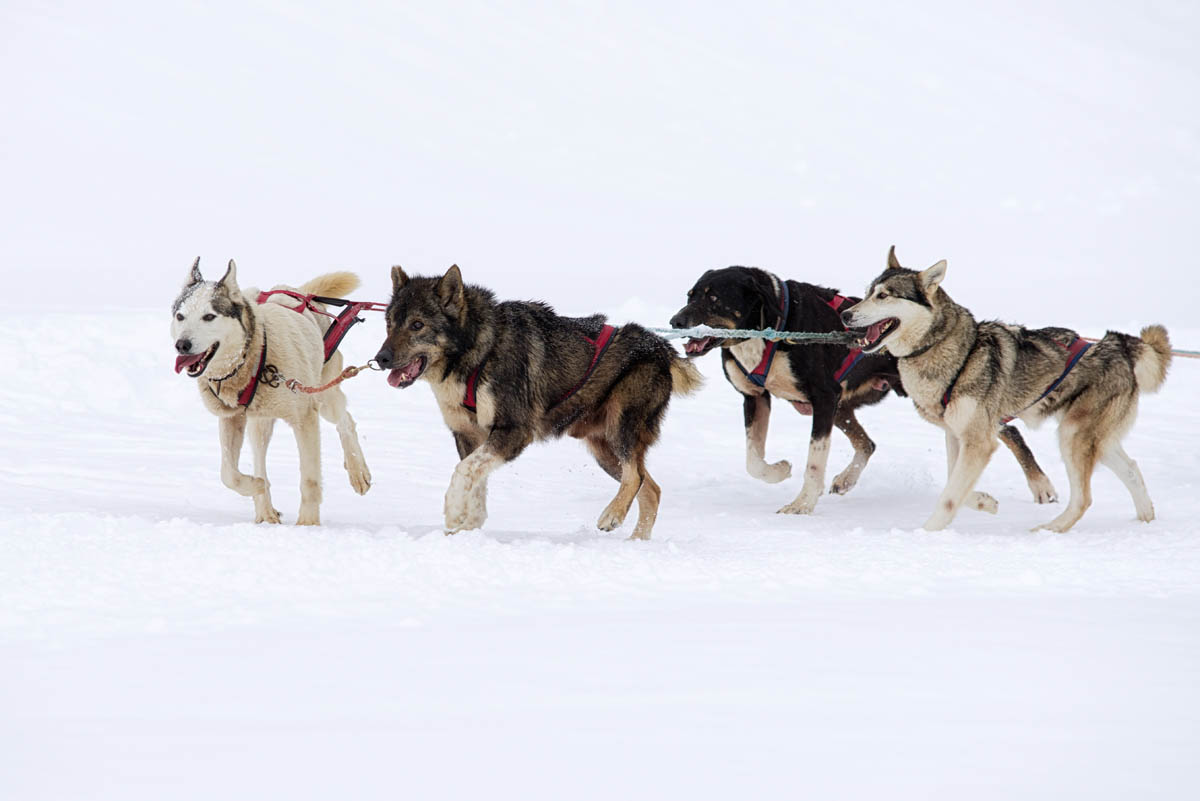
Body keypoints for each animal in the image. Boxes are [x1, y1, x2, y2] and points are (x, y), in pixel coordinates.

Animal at [166, 256, 367, 525]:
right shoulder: (231, 419)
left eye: (209, 316)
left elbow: (310, 479)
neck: (254, 357)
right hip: (259, 422)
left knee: (345, 420)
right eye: (180, 316)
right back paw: (265, 510)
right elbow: (228, 473)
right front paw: (257, 486)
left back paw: (358, 472)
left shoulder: (306, 418)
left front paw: (308, 524)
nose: (182, 345)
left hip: (324, 396)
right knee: (259, 458)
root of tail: (300, 292)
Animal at [369, 266, 700, 541]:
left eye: (417, 325)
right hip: (603, 450)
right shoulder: (468, 435)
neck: (479, 352)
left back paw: (612, 514)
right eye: (389, 323)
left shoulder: (514, 431)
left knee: (636, 476)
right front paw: (469, 523)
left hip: (622, 427)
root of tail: (661, 347)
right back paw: (636, 542)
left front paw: (453, 511)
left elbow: (464, 471)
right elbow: (475, 477)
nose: (381, 358)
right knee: (651, 489)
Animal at [672, 266, 1056, 515]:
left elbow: (814, 461)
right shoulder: (755, 397)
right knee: (867, 443)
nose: (675, 321)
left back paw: (1041, 486)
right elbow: (753, 460)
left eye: (714, 299)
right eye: (690, 294)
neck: (774, 328)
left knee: (1010, 432)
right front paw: (777, 470)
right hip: (849, 407)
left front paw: (802, 503)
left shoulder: (823, 399)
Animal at [844, 248, 1171, 532]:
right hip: (1096, 439)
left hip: (1073, 435)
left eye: (884, 295)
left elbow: (949, 497)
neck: (957, 353)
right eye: (867, 293)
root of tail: (1120, 345)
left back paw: (1049, 530)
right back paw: (1146, 517)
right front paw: (984, 502)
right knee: (1132, 469)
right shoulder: (957, 435)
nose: (846, 315)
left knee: (1084, 499)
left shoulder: (979, 441)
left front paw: (926, 533)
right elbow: (955, 483)